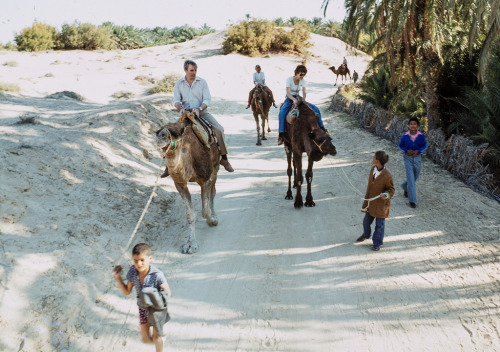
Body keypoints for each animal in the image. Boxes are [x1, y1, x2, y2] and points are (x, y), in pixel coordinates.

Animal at [155, 117, 220, 254]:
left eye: (176, 133)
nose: (160, 136)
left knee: (213, 191)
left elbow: (205, 211)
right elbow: (190, 214)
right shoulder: (180, 183)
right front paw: (190, 245)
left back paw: (214, 215)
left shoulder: (205, 179)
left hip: (216, 166)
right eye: (158, 130)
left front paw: (212, 221)